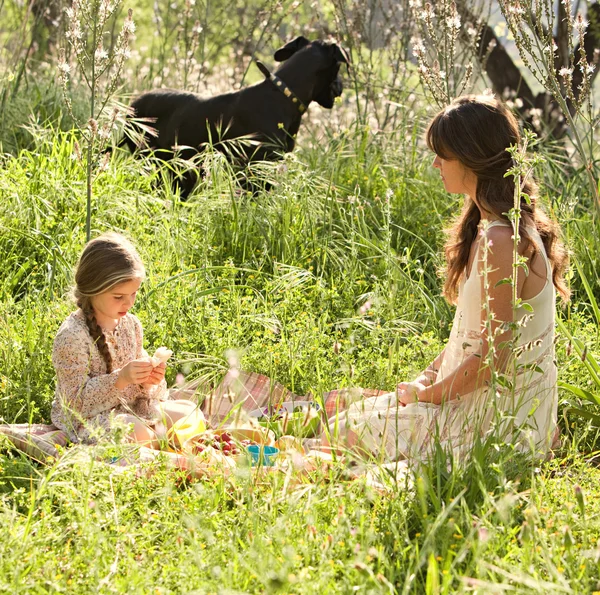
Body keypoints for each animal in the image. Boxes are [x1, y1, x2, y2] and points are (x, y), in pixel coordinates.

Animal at [116, 36, 346, 199]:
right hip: (153, 162)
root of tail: (131, 107)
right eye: (339, 67)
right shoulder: (254, 173)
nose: (341, 86)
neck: (284, 95)